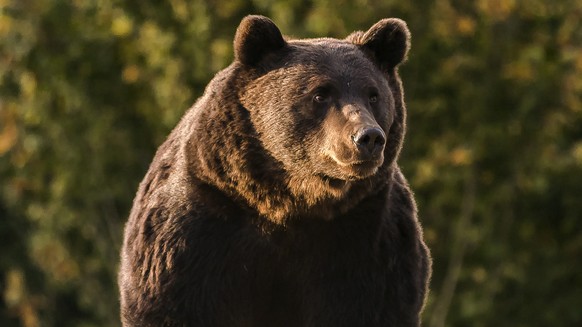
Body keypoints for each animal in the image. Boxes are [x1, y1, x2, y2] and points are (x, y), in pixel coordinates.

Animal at [118, 14, 432, 327]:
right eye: (320, 94)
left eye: (373, 95)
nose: (368, 137)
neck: (289, 202)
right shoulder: (200, 226)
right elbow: (176, 300)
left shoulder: (366, 237)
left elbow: (370, 302)